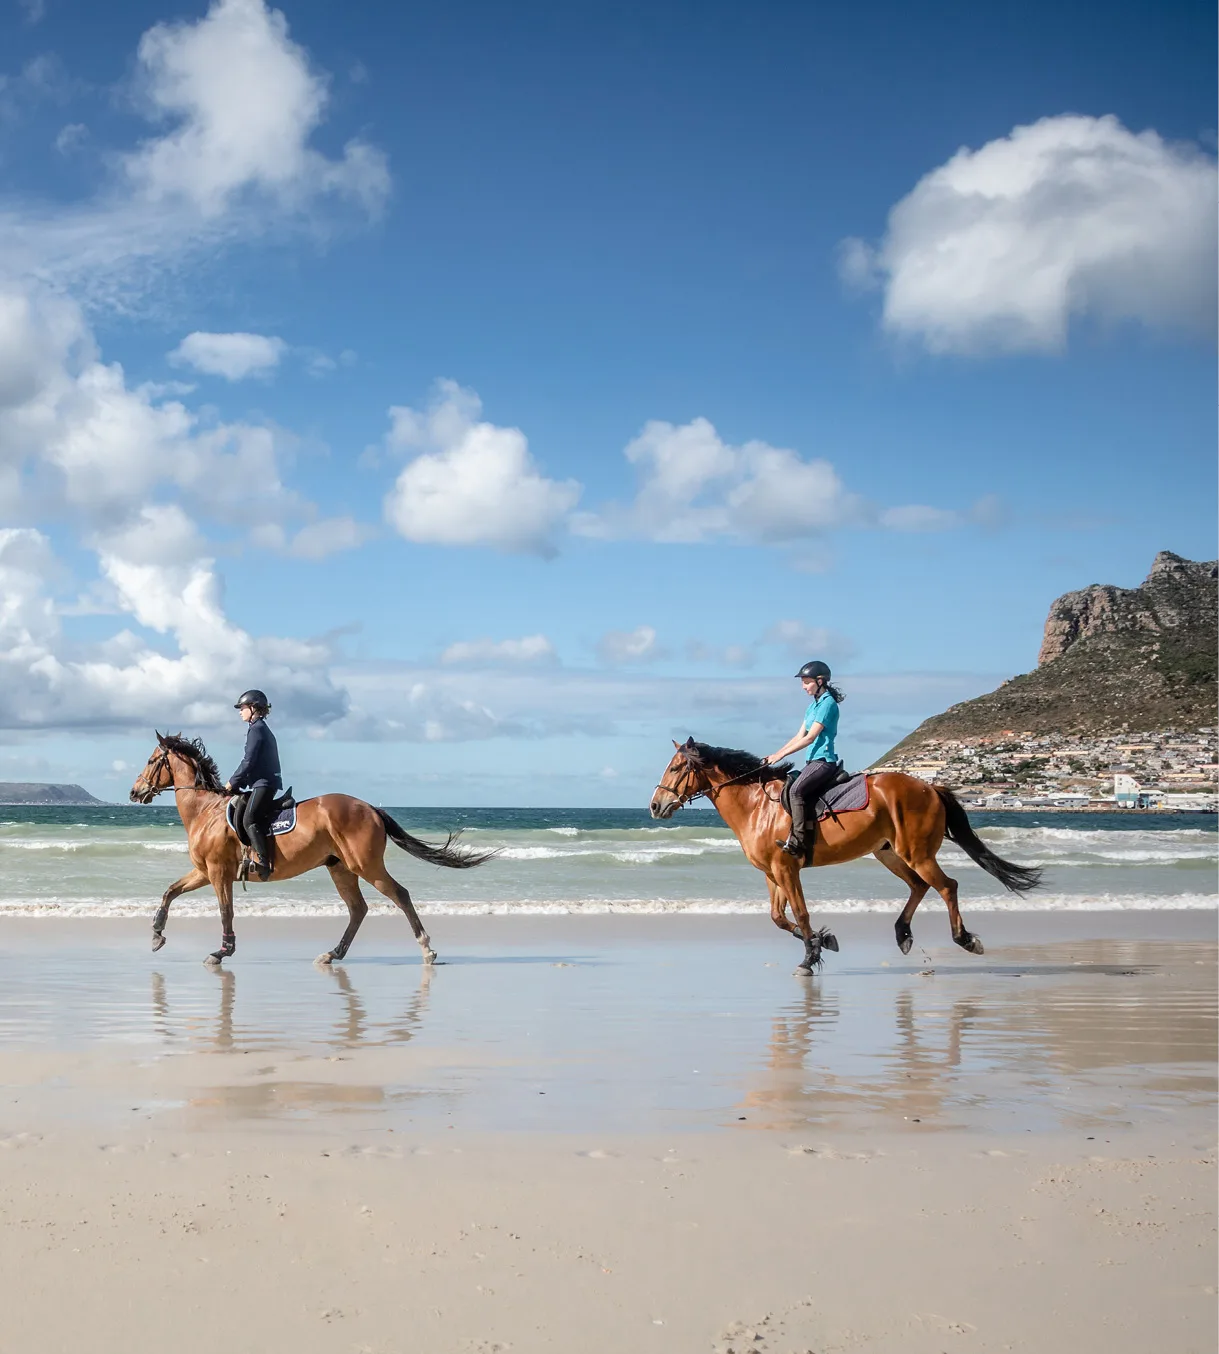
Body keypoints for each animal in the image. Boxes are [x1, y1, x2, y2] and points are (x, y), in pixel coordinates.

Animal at [130, 732, 493, 966]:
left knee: (399, 895)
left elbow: (225, 911)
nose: (135, 792)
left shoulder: (219, 873)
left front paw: (222, 952)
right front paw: (156, 935)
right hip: (340, 867)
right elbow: (170, 891)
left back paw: (427, 950)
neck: (206, 811)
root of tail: (371, 808)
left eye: (150, 760)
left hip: (365, 865)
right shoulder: (204, 871)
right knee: (358, 909)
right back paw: (332, 954)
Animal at [649, 738, 1042, 973]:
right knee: (919, 886)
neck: (757, 805)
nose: (654, 806)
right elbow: (778, 917)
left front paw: (810, 958)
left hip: (916, 853)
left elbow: (801, 913)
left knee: (947, 886)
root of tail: (931, 786)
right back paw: (902, 934)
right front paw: (823, 941)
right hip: (890, 854)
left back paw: (966, 939)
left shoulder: (787, 867)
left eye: (676, 768)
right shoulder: (771, 873)